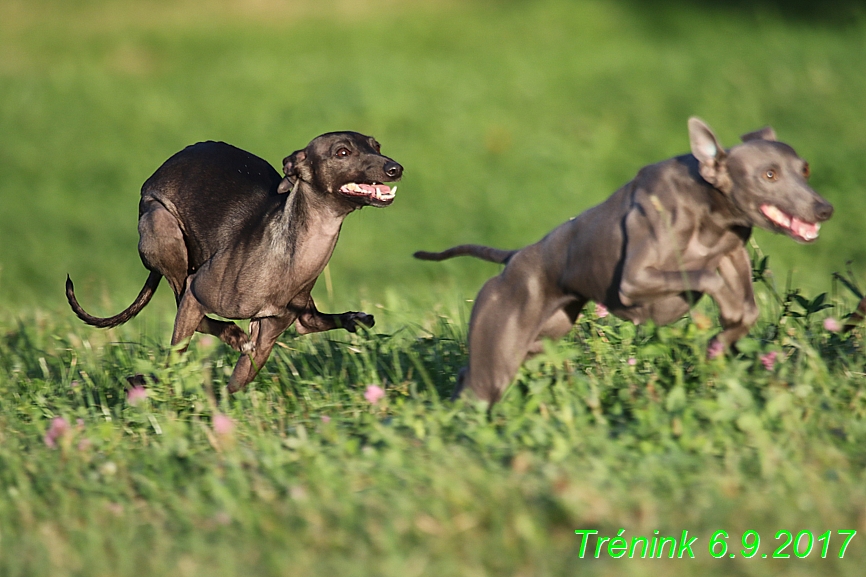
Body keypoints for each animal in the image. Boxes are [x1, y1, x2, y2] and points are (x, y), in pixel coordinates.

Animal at [69, 130, 404, 392]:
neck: (287, 255)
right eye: (342, 152)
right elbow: (178, 352)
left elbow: (232, 387)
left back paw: (353, 318)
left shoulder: (265, 340)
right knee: (183, 301)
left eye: (376, 145)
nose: (395, 168)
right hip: (163, 229)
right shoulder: (199, 292)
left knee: (308, 320)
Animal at [416, 117, 832, 402]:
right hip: (497, 360)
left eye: (805, 169)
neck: (710, 207)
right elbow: (704, 277)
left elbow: (744, 308)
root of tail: (513, 258)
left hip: (538, 340)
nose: (824, 208)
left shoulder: (732, 253)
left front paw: (722, 338)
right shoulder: (635, 280)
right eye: (769, 174)